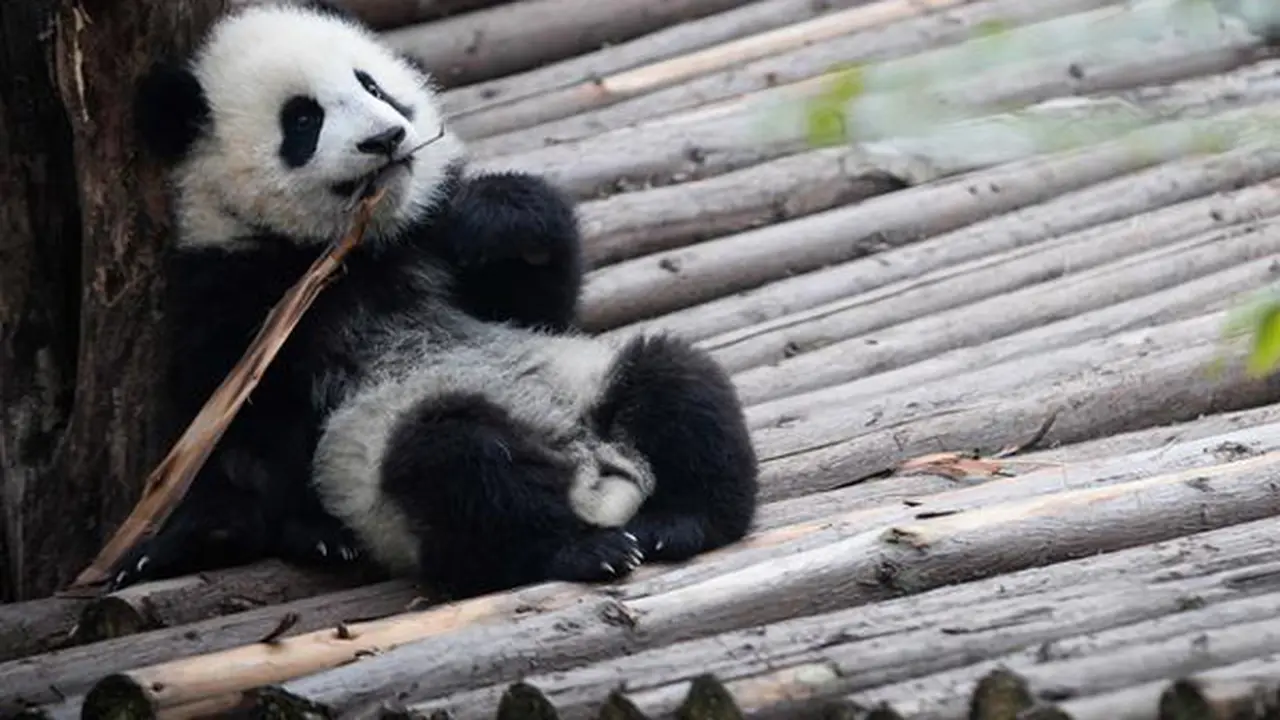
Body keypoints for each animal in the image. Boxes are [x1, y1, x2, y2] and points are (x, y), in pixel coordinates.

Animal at [108, 0, 759, 599]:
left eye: (373, 86)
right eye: (303, 119)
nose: (386, 138)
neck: (355, 250)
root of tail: (596, 476)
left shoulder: (431, 243)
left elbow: (538, 303)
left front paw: (496, 217)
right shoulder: (236, 294)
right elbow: (246, 433)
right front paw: (277, 534)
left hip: (588, 382)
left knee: (676, 383)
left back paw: (677, 521)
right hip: (401, 452)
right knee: (459, 464)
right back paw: (583, 547)